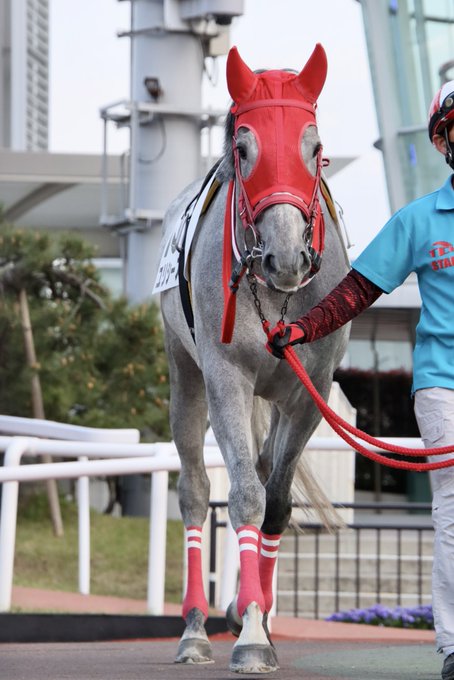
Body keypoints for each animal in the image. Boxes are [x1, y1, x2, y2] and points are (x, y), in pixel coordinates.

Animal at [157, 45, 352, 672]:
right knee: (196, 490)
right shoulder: (227, 378)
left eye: (315, 147)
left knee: (266, 475)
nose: (287, 257)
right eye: (244, 148)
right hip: (184, 372)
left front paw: (257, 619)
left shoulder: (311, 390)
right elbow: (242, 494)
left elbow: (276, 504)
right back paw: (196, 628)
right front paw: (247, 635)